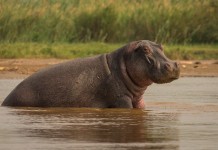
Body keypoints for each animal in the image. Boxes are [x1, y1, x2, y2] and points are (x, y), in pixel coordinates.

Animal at [0, 40, 180, 108]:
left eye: (161, 46)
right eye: (145, 49)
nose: (172, 65)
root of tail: (5, 101)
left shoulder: (138, 101)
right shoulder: (121, 99)